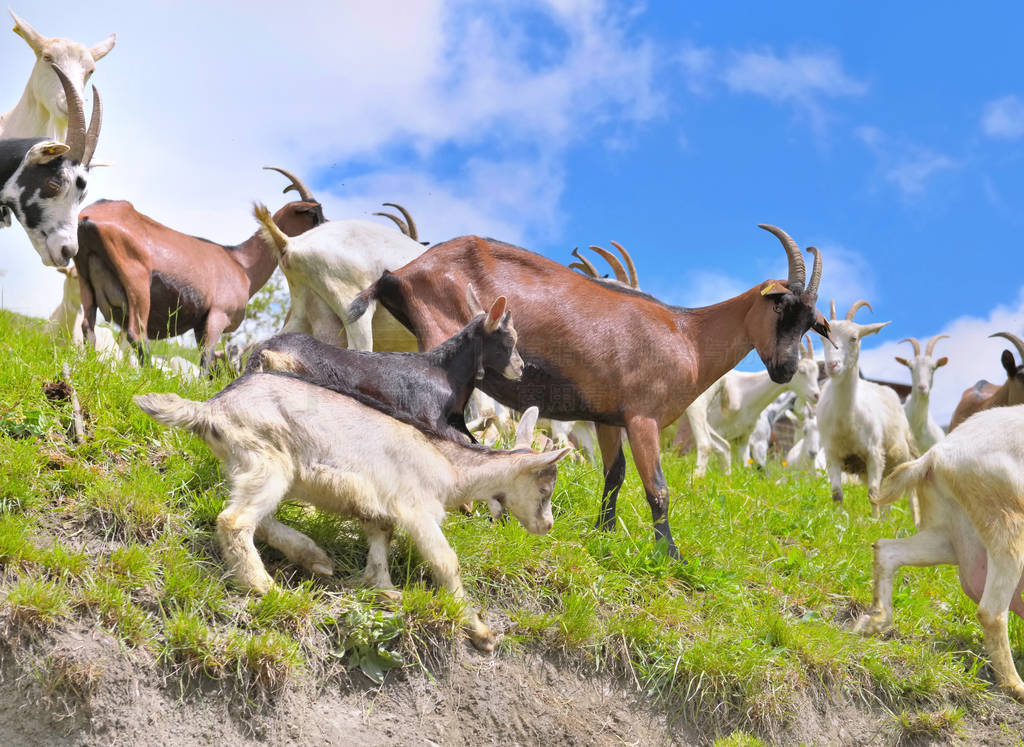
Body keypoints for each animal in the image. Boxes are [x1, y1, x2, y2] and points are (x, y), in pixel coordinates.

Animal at [74, 168, 323, 368]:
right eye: (313, 214)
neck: (241, 263)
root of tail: (89, 216)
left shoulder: (199, 324)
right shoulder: (217, 315)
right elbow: (206, 359)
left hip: (85, 279)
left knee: (88, 326)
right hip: (137, 283)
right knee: (136, 334)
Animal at [352, 223, 831, 553]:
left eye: (811, 323)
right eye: (780, 307)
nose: (785, 369)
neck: (687, 334)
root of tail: (399, 274)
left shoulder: (608, 417)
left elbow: (614, 474)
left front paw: (604, 532)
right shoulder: (642, 417)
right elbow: (658, 487)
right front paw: (669, 554)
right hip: (443, 338)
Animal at [815, 299, 921, 518]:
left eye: (854, 338)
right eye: (822, 338)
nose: (832, 365)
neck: (846, 420)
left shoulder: (874, 453)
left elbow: (873, 493)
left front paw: (874, 521)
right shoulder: (832, 454)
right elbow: (837, 493)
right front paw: (838, 520)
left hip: (903, 455)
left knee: (910, 496)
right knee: (888, 493)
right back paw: (888, 520)